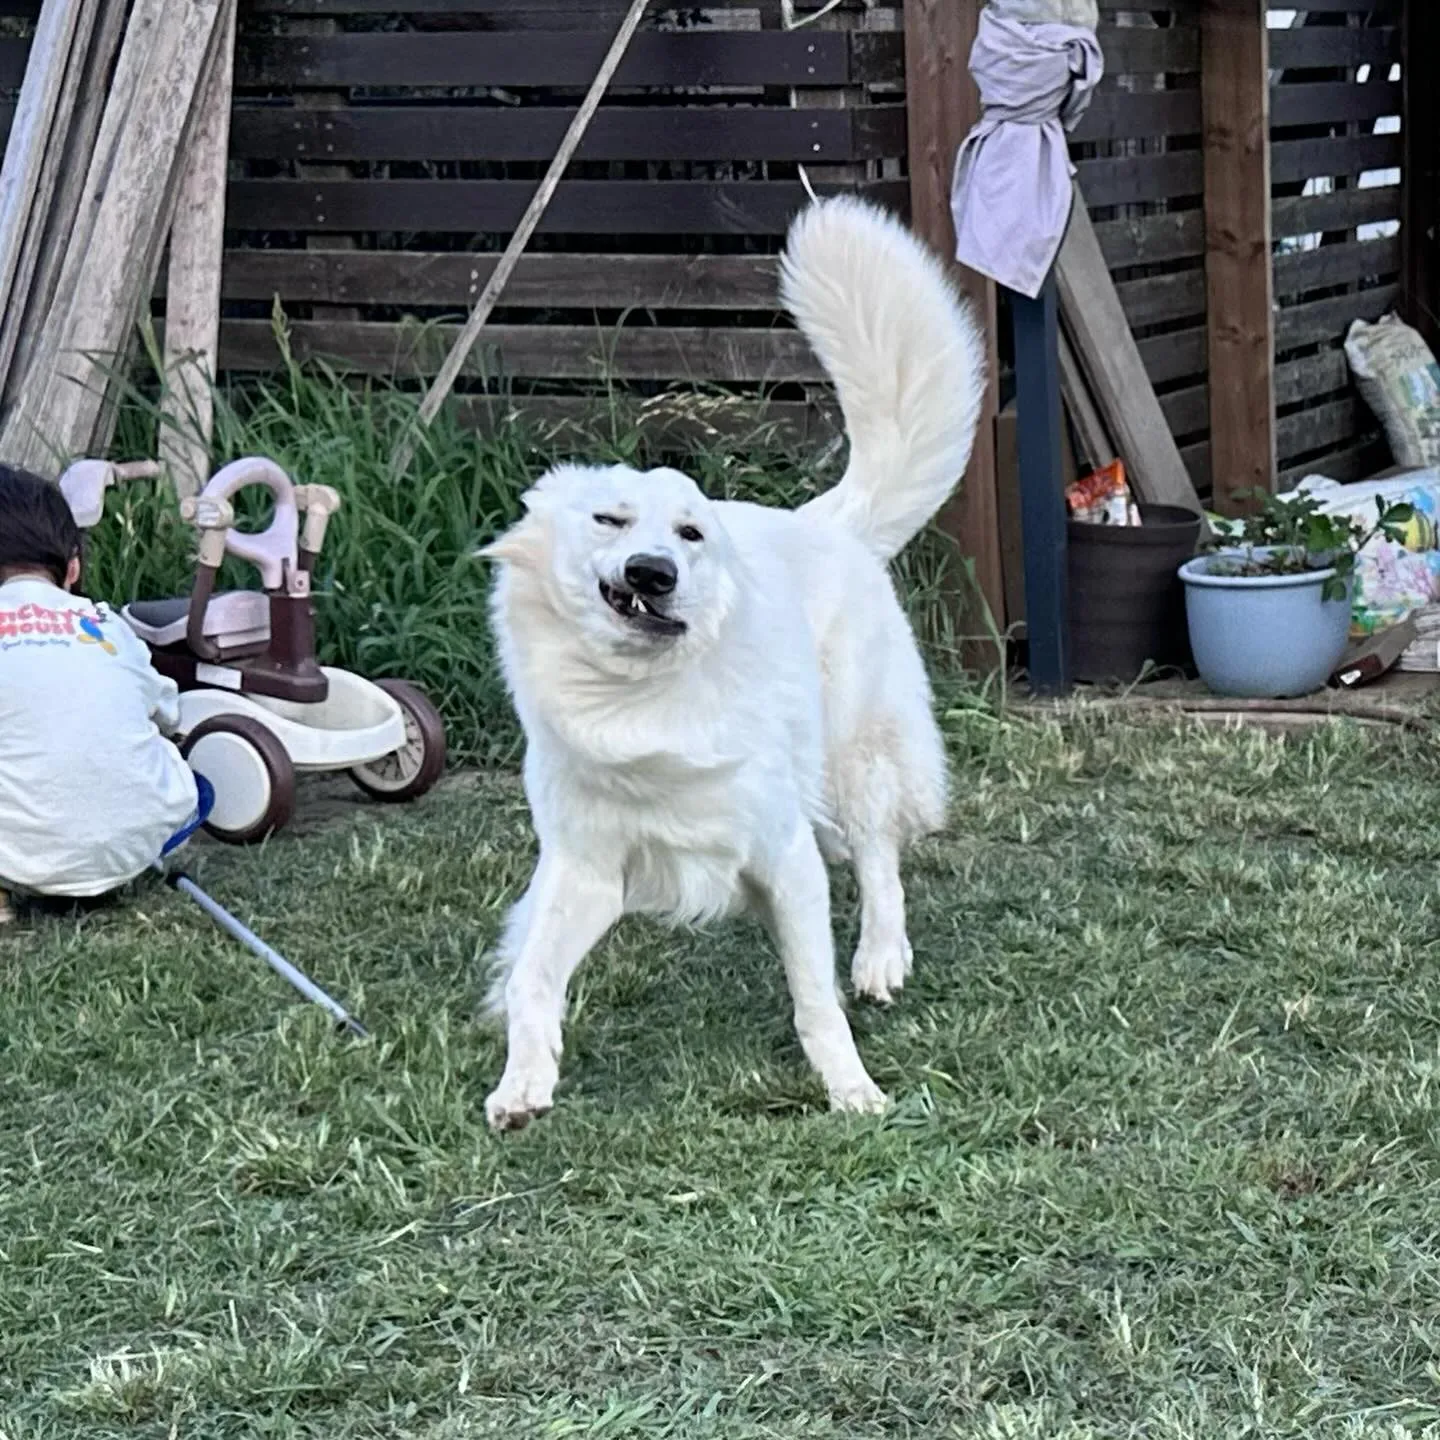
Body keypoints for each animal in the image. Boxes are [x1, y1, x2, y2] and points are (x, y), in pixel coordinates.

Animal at [483, 197, 990, 1128]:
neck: (640, 698)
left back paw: (880, 958)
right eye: (610, 519)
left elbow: (816, 1001)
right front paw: (523, 1082)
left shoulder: (784, 853)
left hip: (854, 756)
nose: (653, 574)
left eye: (691, 534)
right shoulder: (586, 870)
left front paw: (852, 1089)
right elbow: (535, 976)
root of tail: (830, 521)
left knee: (880, 855)